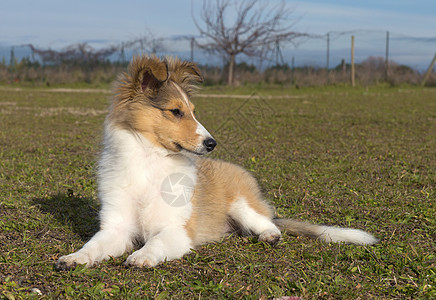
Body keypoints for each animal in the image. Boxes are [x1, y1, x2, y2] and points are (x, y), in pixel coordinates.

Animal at [56, 55, 378, 268]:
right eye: (175, 111)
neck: (150, 161)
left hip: (242, 205)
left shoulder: (176, 229)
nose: (211, 143)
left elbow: (155, 242)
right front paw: (74, 257)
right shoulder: (116, 227)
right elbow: (94, 244)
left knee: (269, 224)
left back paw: (269, 236)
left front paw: (141, 256)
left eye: (192, 110)